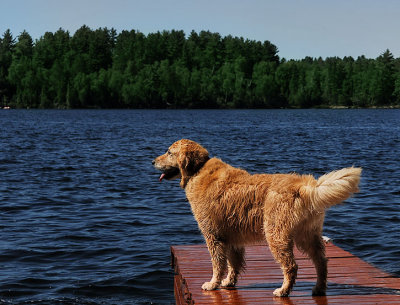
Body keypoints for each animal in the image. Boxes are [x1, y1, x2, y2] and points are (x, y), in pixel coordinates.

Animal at [152, 139, 360, 296]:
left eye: (169, 152)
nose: (152, 161)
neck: (198, 169)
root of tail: (305, 186)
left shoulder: (213, 235)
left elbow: (218, 264)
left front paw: (213, 284)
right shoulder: (231, 238)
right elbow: (233, 264)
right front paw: (229, 282)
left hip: (276, 235)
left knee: (291, 266)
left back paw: (283, 291)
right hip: (307, 235)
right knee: (321, 262)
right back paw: (318, 288)